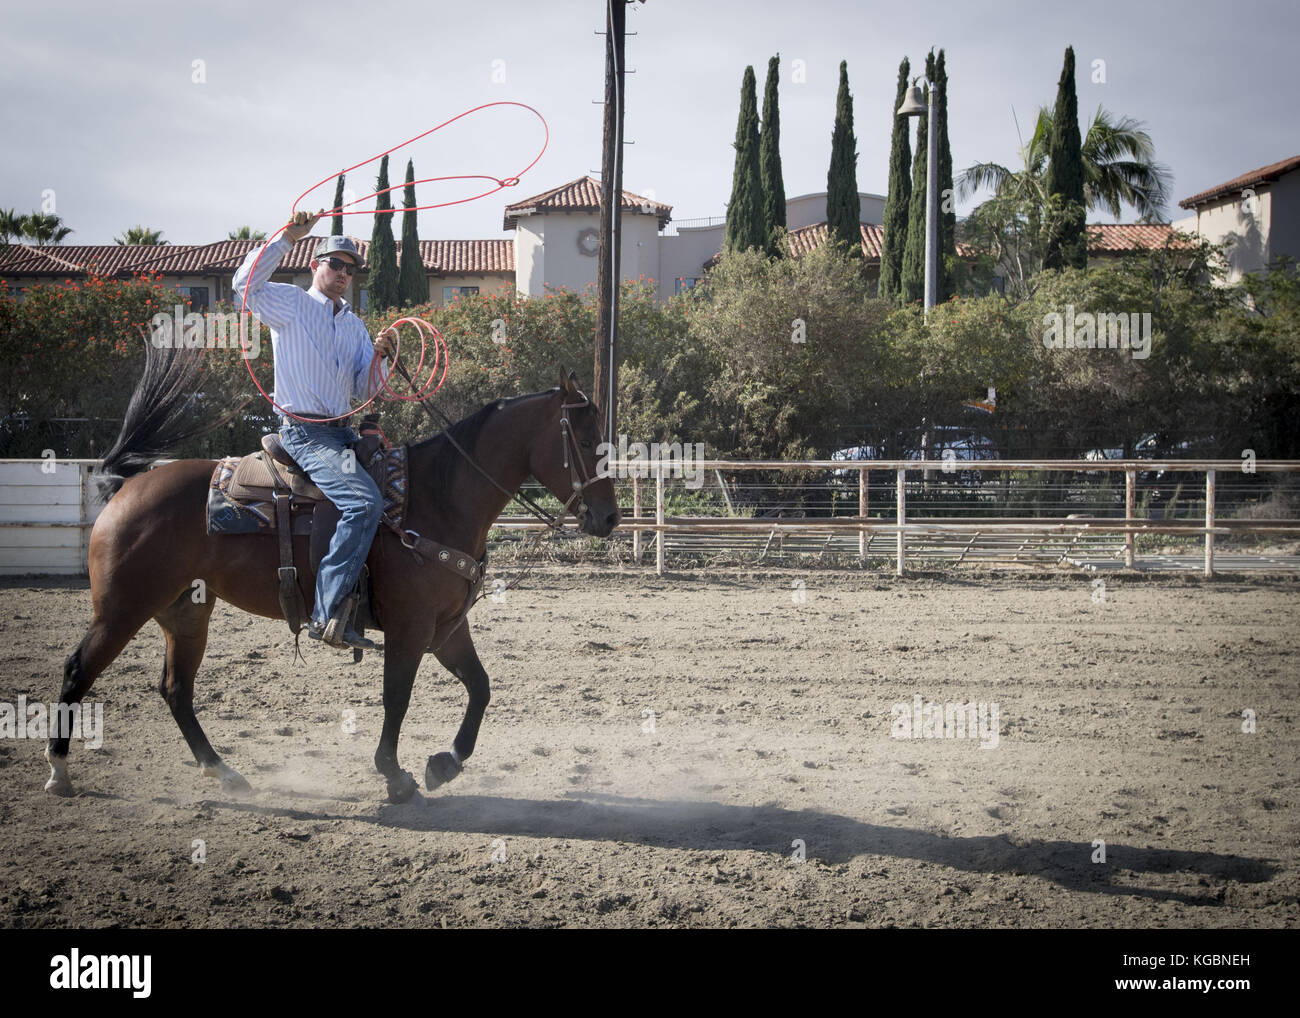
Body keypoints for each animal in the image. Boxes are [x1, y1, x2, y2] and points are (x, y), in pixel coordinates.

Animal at [43, 343, 621, 806]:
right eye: (584, 440)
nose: (610, 518)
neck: (436, 497)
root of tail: (126, 488)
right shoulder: (410, 628)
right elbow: (397, 697)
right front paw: (395, 775)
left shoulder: (446, 628)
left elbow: (480, 687)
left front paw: (444, 764)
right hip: (123, 609)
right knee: (78, 671)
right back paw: (59, 771)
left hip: (185, 613)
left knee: (176, 690)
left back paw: (225, 773)